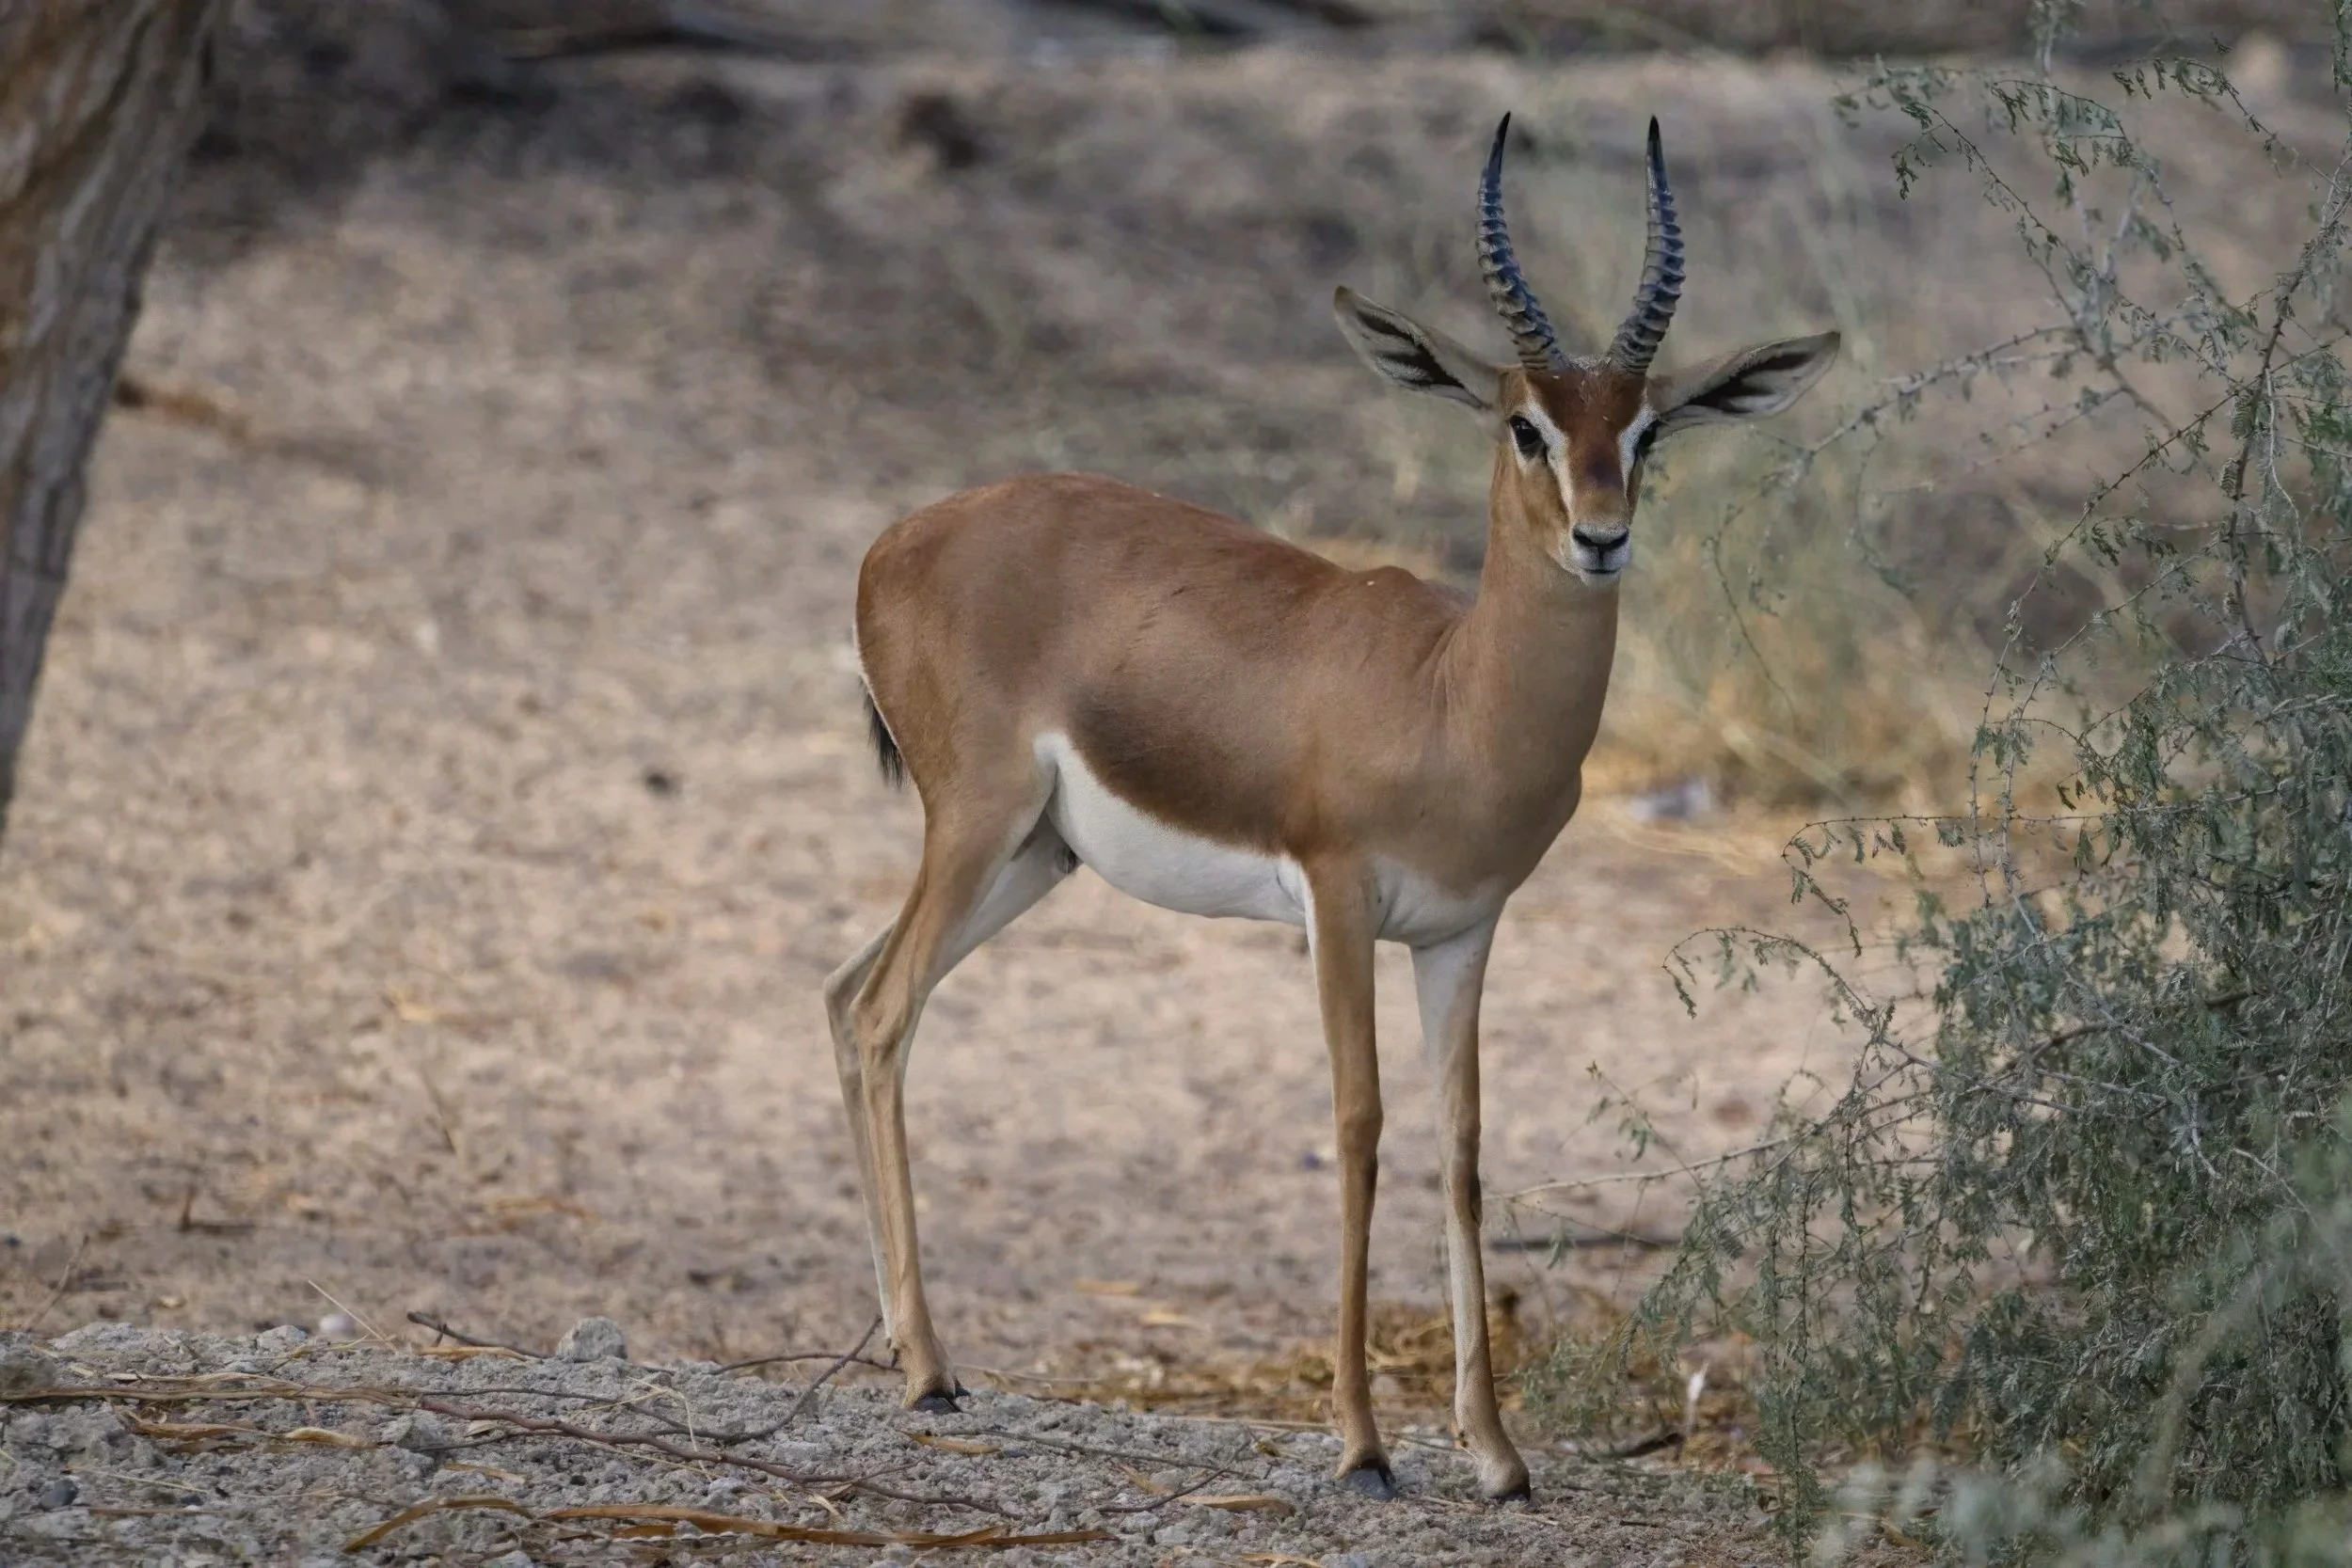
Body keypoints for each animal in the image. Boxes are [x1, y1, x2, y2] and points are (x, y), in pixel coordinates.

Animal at [823, 114, 1837, 1501]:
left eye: (1646, 432)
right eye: (1524, 424)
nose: (1601, 536)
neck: (1452, 695)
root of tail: (894, 541)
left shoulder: (1461, 929)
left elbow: (1462, 1148)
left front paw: (1497, 1453)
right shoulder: (1339, 899)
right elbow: (1359, 1125)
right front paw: (1362, 1443)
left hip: (1034, 855)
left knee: (847, 993)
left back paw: (903, 1350)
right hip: (977, 822)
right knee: (881, 1014)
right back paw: (928, 1370)